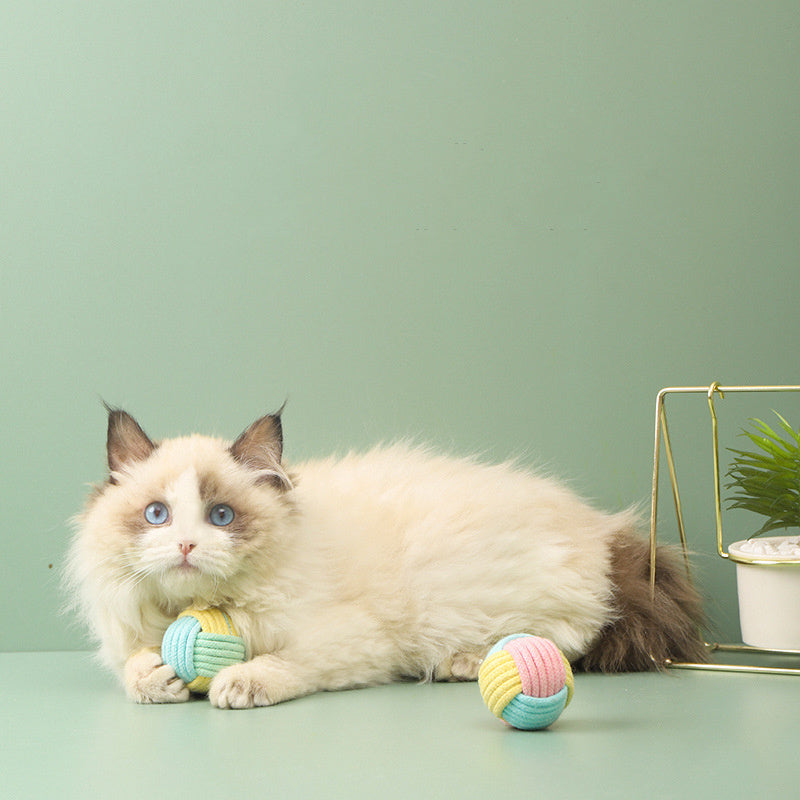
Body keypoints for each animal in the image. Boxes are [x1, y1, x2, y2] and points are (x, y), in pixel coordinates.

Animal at [67, 406, 708, 708]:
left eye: (221, 517)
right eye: (157, 515)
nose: (185, 546)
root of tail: (602, 531)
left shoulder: (355, 641)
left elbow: (285, 662)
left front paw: (240, 682)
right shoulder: (129, 635)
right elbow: (133, 668)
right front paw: (158, 679)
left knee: (568, 638)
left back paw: (461, 663)